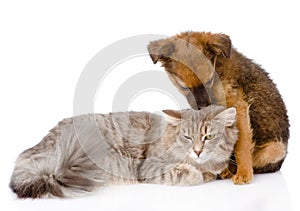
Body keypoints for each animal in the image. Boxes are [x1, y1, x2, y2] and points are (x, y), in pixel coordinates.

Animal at [9, 104, 237, 199]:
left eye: (209, 137)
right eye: (188, 137)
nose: (197, 151)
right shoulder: (148, 166)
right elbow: (187, 174)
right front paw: (196, 173)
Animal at [149, 31, 290, 185]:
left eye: (209, 81)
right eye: (184, 87)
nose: (203, 107)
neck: (218, 70)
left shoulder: (238, 107)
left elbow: (241, 145)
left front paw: (243, 173)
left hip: (276, 149)